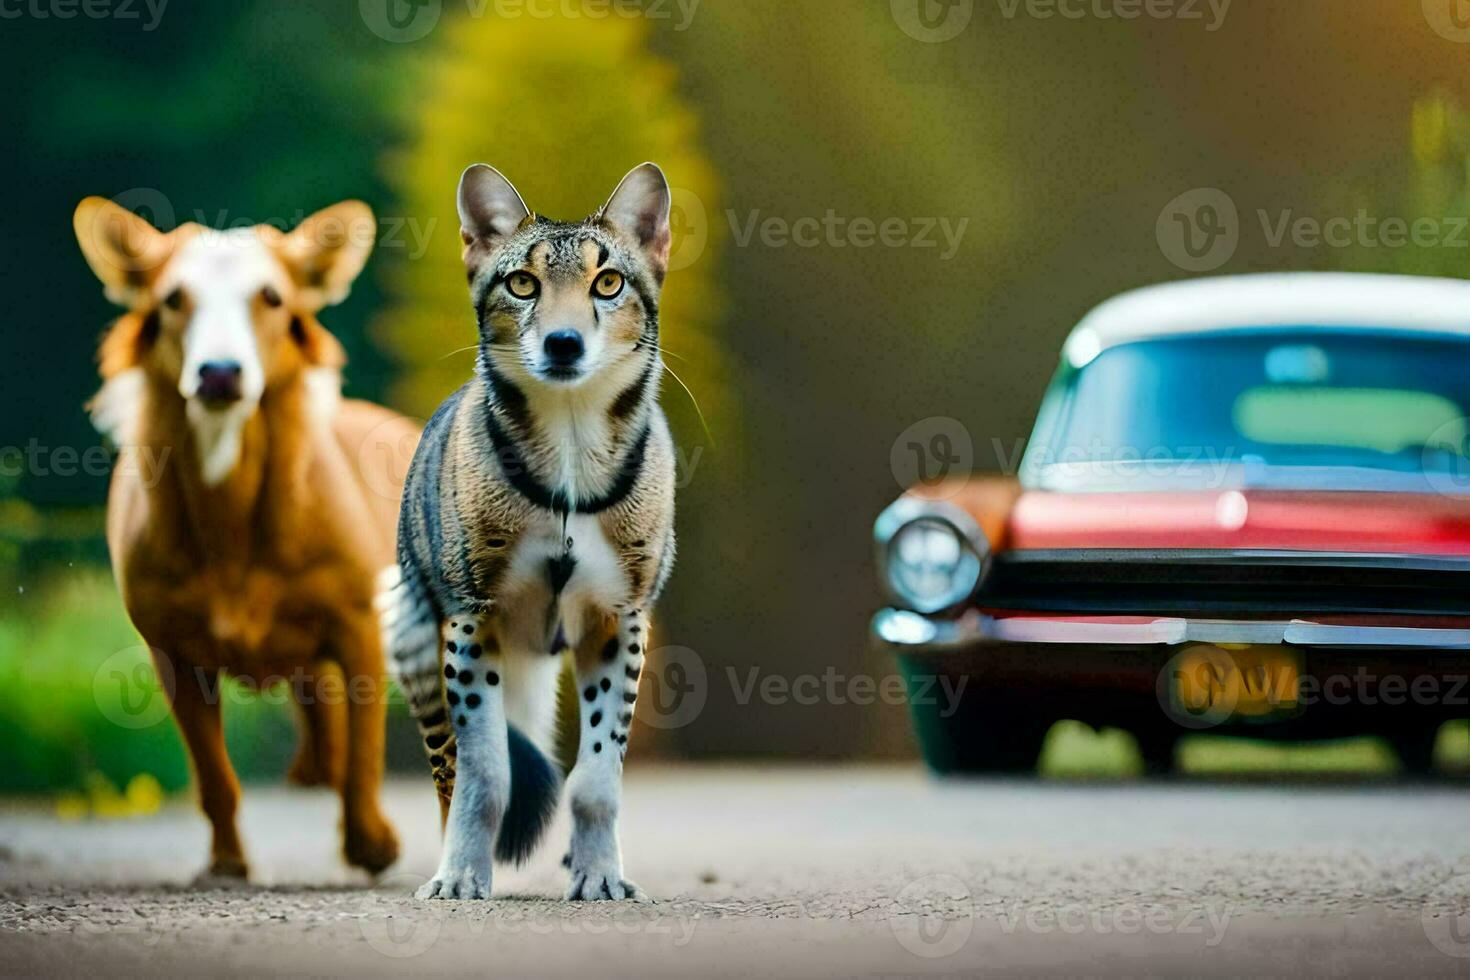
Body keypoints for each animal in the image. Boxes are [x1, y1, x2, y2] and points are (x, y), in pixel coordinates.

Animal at [75, 195, 420, 875]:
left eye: (272, 297)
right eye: (172, 299)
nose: (219, 373)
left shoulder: (359, 623)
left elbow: (365, 750)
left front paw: (371, 842)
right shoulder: (170, 648)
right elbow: (213, 774)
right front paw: (227, 861)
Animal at [379, 163, 676, 905]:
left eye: (608, 282)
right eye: (522, 283)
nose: (563, 343)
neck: (569, 449)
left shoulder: (618, 621)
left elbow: (596, 777)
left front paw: (601, 874)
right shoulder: (471, 620)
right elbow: (485, 774)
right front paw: (460, 875)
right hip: (415, 640)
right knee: (449, 773)